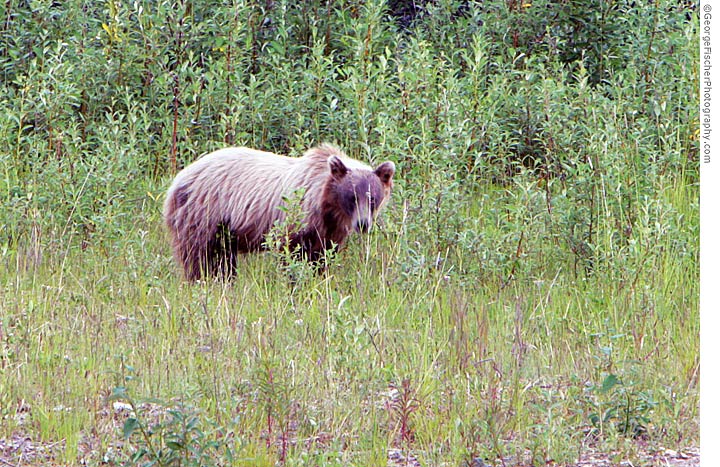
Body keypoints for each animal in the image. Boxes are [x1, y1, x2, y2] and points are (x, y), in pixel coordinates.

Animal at [163, 143, 396, 280]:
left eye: (372, 198)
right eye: (352, 196)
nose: (363, 224)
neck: (326, 206)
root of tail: (178, 178)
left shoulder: (329, 232)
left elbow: (322, 257)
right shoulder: (294, 221)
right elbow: (292, 253)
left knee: (223, 259)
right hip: (203, 213)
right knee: (198, 255)